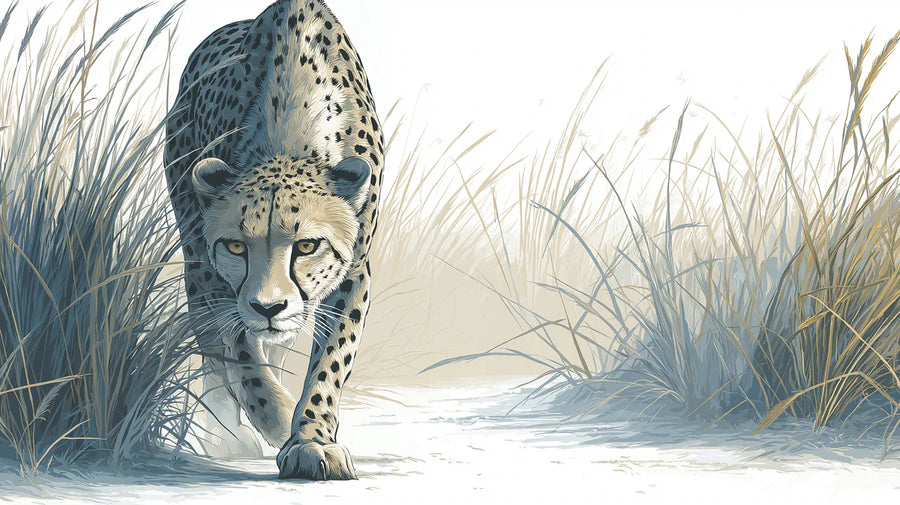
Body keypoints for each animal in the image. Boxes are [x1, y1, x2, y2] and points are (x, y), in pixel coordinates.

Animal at [164, 0, 383, 481]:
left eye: (307, 246)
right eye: (235, 246)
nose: (268, 307)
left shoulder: (354, 272)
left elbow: (330, 361)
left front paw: (311, 438)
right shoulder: (215, 274)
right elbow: (242, 357)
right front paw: (278, 419)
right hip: (192, 251)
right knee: (214, 349)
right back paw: (225, 433)